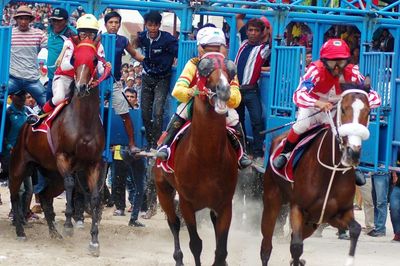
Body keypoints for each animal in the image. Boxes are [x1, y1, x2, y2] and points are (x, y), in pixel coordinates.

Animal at [9, 37, 106, 256]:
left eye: (95, 59)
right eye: (74, 58)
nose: (81, 87)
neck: (83, 122)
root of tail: (24, 127)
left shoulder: (94, 163)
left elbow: (95, 197)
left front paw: (94, 241)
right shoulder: (63, 157)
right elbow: (71, 184)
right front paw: (69, 224)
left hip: (52, 174)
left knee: (45, 196)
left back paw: (54, 232)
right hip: (19, 166)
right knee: (15, 195)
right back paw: (20, 231)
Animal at [155, 52, 239, 266]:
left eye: (230, 71)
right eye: (204, 71)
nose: (224, 90)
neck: (206, 157)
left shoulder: (225, 204)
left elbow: (221, 251)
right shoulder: (186, 203)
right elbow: (195, 244)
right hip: (163, 189)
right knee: (174, 223)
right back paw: (178, 257)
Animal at [260, 82, 374, 264]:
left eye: (368, 112)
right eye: (343, 110)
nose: (353, 153)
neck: (331, 170)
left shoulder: (336, 214)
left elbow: (355, 229)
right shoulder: (298, 208)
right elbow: (296, 246)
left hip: (311, 223)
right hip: (272, 200)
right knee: (266, 247)